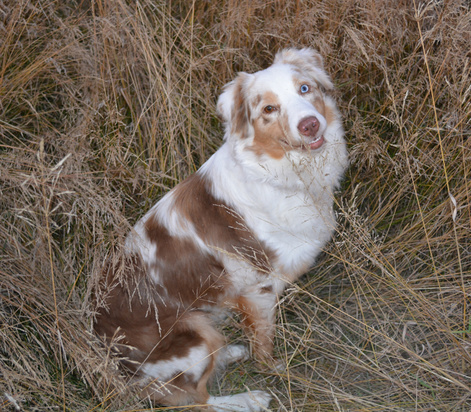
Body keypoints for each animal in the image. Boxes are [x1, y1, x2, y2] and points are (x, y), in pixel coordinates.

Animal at [94, 47, 348, 408]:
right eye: (268, 109)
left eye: (304, 88)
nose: (310, 124)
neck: (277, 172)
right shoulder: (259, 289)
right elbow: (264, 341)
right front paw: (272, 369)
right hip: (193, 332)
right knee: (195, 399)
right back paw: (249, 399)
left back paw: (230, 352)